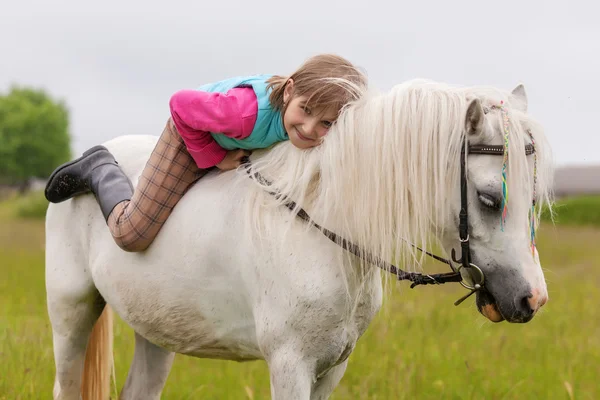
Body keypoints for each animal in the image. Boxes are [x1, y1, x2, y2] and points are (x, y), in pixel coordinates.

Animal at [45, 79, 552, 400]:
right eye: (488, 198)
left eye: (532, 199)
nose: (532, 300)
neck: (320, 232)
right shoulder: (290, 365)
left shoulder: (332, 367)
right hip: (72, 312)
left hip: (156, 330)